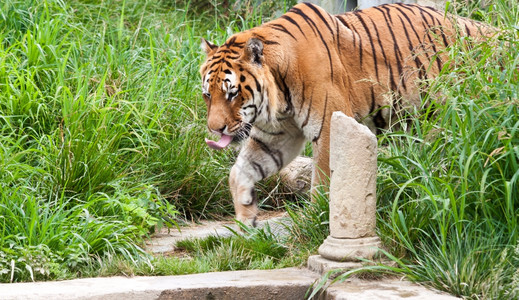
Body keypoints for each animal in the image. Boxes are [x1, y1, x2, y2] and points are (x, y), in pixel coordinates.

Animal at [198, 0, 492, 225]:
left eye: (232, 93)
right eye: (208, 95)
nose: (215, 130)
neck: (279, 93)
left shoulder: (330, 124)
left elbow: (323, 179)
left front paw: (316, 220)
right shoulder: (277, 136)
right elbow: (241, 170)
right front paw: (245, 215)